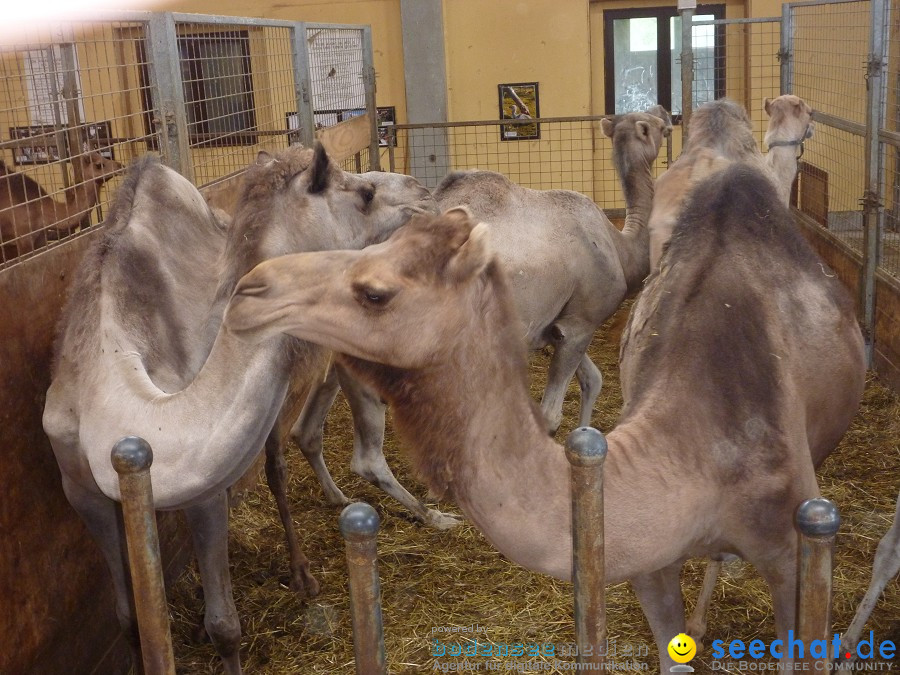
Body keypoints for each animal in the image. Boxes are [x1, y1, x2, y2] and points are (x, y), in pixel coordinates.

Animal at [40, 145, 434, 672]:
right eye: (365, 192)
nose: (420, 189)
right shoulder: (80, 490)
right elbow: (129, 619)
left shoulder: (203, 486)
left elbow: (225, 624)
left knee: (276, 468)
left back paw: (302, 574)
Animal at [284, 107, 672, 528]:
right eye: (653, 127)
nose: (665, 114)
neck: (620, 246)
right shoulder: (580, 323)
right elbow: (551, 414)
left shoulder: (553, 327)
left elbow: (593, 379)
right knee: (367, 459)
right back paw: (436, 517)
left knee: (306, 429)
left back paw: (340, 497)